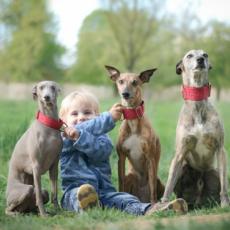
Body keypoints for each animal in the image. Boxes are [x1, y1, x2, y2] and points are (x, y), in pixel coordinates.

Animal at [5, 81, 63, 216]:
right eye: (41, 87)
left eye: (53, 87)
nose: (47, 97)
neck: (48, 125)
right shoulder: (36, 166)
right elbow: (39, 197)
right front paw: (44, 215)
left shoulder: (54, 165)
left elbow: (54, 192)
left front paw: (58, 211)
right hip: (26, 189)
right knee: (9, 208)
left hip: (40, 192)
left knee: (37, 198)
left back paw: (36, 211)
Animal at [105, 65, 164, 202]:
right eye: (120, 81)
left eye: (135, 82)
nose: (125, 94)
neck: (133, 121)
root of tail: (141, 197)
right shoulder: (121, 157)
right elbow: (120, 181)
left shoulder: (150, 157)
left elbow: (152, 187)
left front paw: (154, 204)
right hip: (130, 177)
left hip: (160, 182)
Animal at [162, 49, 230, 208]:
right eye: (189, 56)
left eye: (205, 54)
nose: (200, 60)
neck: (197, 103)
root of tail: (198, 200)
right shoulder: (180, 153)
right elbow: (169, 183)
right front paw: (163, 203)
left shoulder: (220, 149)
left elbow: (224, 185)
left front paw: (225, 203)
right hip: (183, 168)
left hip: (213, 172)